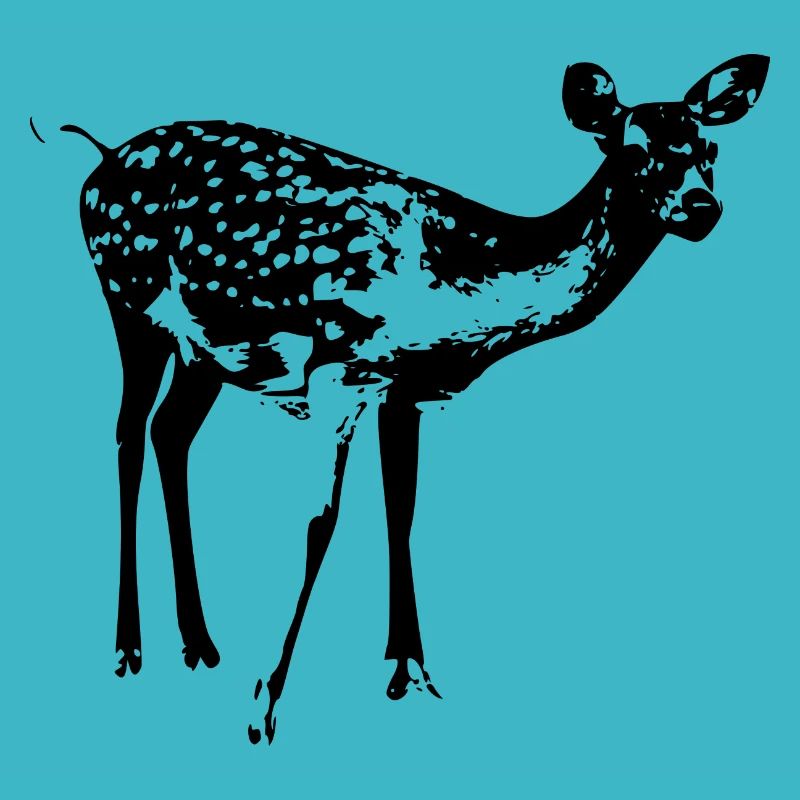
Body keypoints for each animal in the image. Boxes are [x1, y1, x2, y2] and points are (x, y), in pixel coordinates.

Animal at [60, 54, 768, 744]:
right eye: (628, 149)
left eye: (710, 145)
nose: (702, 206)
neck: (464, 285)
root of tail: (99, 162)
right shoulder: (341, 366)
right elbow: (320, 521)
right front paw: (265, 702)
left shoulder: (406, 388)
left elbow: (401, 508)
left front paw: (409, 672)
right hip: (129, 297)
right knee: (127, 434)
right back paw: (129, 648)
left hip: (204, 350)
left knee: (169, 433)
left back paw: (199, 644)